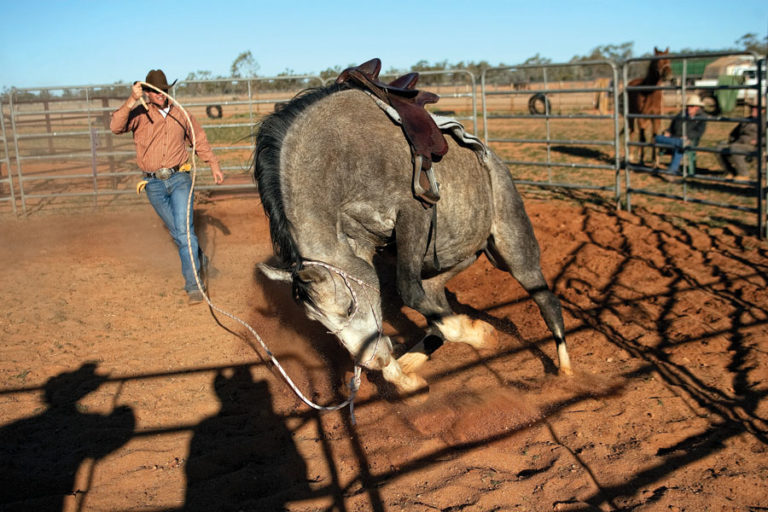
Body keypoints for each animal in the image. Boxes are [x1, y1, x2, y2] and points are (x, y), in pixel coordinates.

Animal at [254, 82, 573, 397]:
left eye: (348, 307)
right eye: (319, 322)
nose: (374, 360)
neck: (346, 156)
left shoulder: (414, 215)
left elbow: (409, 292)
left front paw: (483, 335)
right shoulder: (360, 246)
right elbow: (427, 315)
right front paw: (404, 380)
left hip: (515, 250)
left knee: (547, 302)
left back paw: (565, 371)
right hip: (446, 264)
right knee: (436, 316)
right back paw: (410, 361)